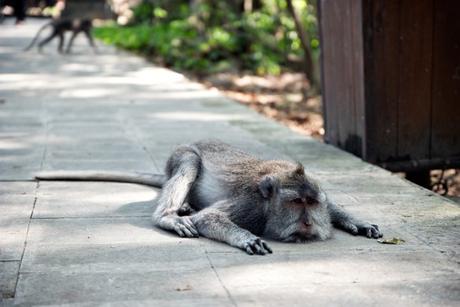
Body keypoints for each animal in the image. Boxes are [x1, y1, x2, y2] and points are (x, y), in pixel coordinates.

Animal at [35, 140, 380, 255]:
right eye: (297, 204)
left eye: (312, 203)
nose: (308, 223)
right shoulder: (250, 205)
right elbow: (208, 218)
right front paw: (247, 239)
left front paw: (357, 222)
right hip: (180, 155)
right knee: (190, 163)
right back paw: (170, 217)